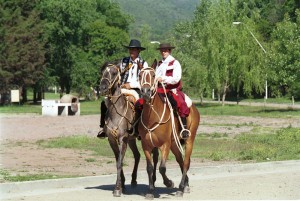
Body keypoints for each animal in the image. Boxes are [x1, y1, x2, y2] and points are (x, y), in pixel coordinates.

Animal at [98, 61, 142, 196]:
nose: (102, 88)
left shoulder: (123, 139)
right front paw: (121, 185)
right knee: (137, 155)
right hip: (132, 140)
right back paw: (133, 180)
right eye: (102, 72)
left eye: (113, 73)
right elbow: (118, 160)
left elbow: (120, 162)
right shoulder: (112, 139)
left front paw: (117, 189)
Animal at [139, 60, 200, 199]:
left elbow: (162, 168)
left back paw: (181, 188)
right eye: (140, 75)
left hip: (189, 140)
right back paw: (185, 185)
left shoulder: (165, 144)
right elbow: (149, 168)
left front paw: (169, 183)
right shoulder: (146, 145)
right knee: (180, 161)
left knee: (186, 162)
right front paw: (150, 191)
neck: (152, 116)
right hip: (174, 144)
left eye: (153, 75)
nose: (145, 92)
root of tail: (194, 108)